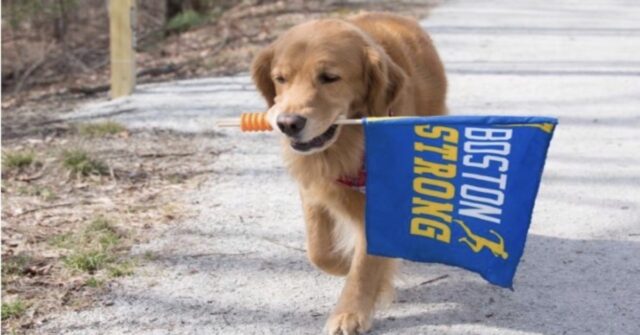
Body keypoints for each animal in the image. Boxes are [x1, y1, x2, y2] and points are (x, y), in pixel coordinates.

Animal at [250, 11, 444, 334]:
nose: (288, 123)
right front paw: (343, 262)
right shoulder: (313, 186)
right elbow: (319, 251)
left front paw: (350, 312)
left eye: (329, 78)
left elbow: (365, 263)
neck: (347, 144)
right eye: (280, 79)